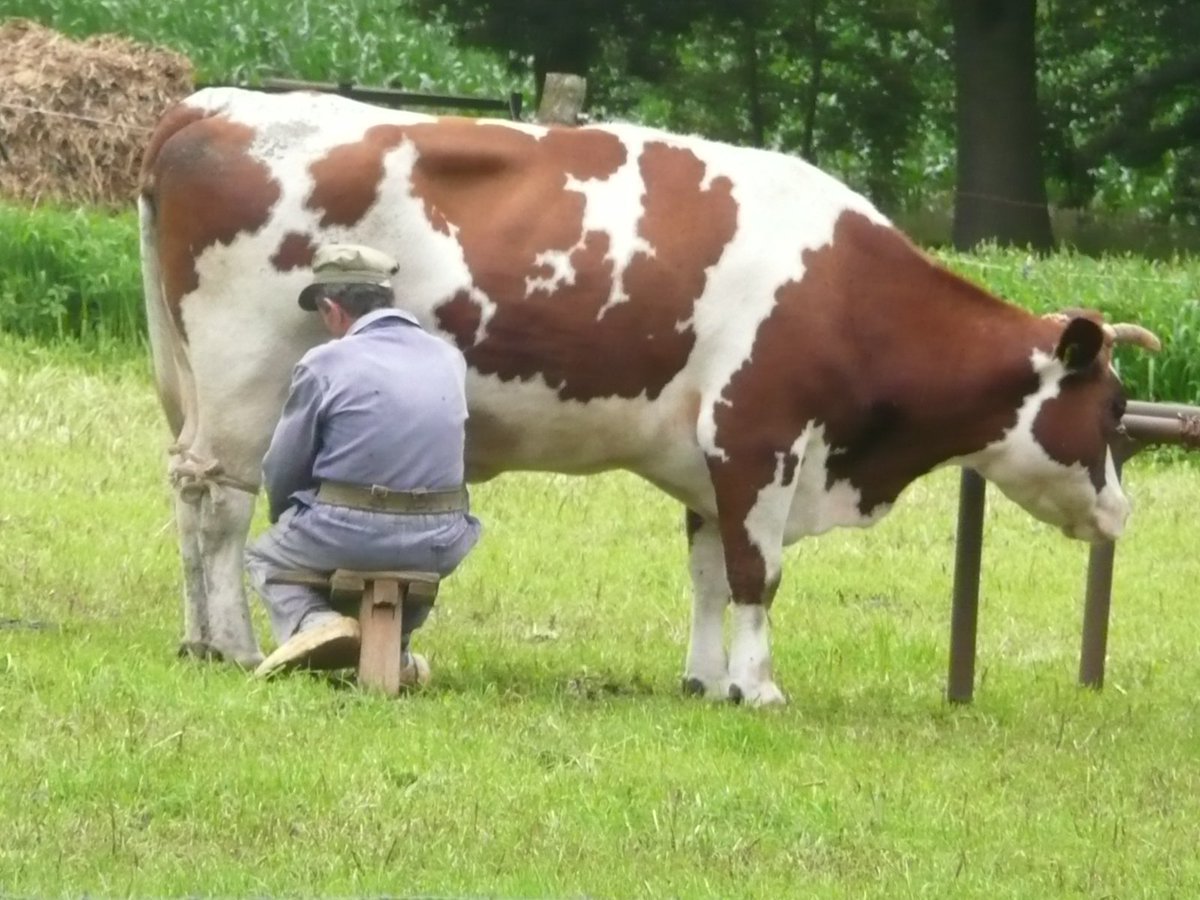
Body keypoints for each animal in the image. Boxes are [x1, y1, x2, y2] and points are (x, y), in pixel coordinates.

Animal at [140, 86, 1161, 705]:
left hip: (193, 387)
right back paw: (235, 643)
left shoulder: (710, 461)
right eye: (1113, 408)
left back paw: (197, 641)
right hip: (247, 382)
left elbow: (708, 571)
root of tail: (215, 102)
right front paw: (760, 687)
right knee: (222, 508)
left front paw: (707, 681)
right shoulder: (759, 436)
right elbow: (757, 575)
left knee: (186, 497)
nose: (1123, 512)